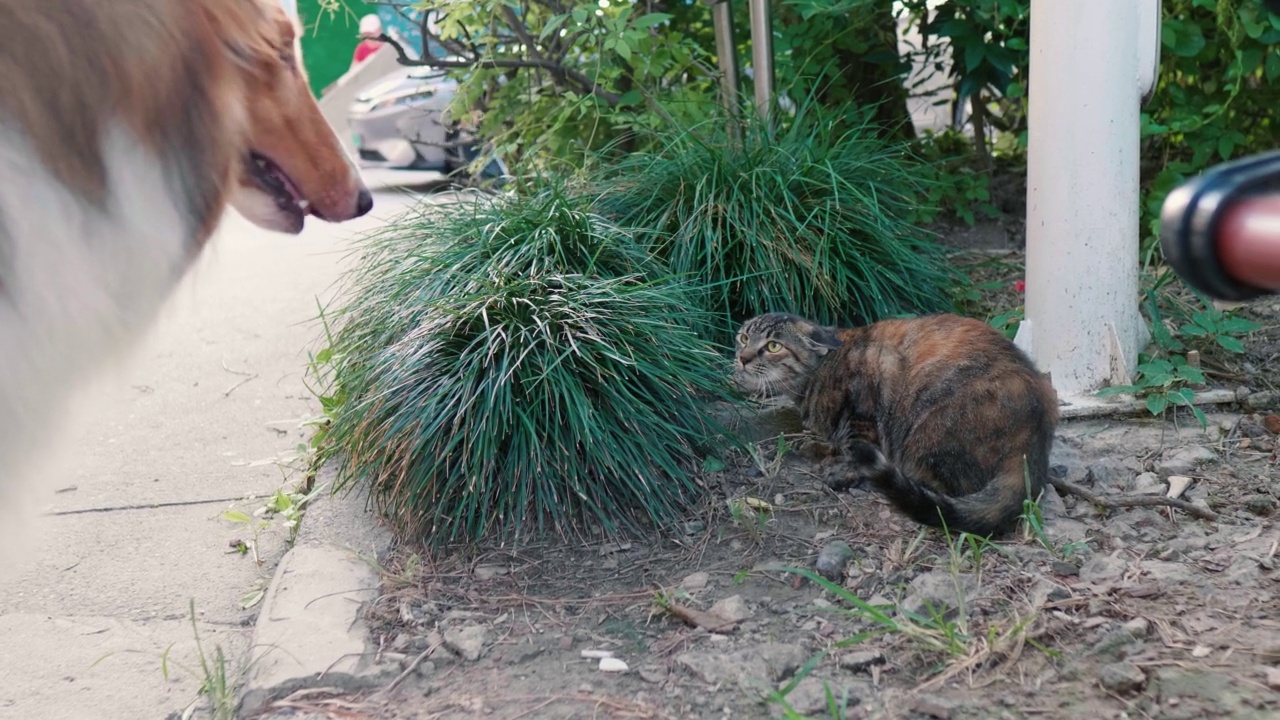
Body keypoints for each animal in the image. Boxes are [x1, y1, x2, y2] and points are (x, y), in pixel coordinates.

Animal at [737, 311, 1054, 535]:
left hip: (928, 427)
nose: (742, 358)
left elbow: (855, 446)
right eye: (743, 338)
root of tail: (1036, 434)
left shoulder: (864, 408)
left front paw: (842, 469)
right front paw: (819, 446)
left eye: (773, 346)